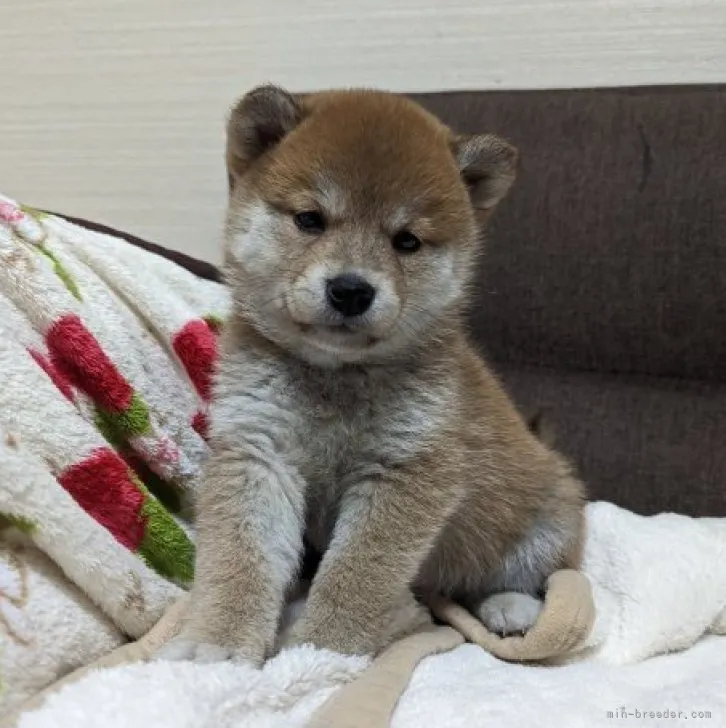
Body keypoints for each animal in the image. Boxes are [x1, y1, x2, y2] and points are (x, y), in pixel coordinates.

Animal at [158, 86, 584, 664]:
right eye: (310, 219)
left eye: (406, 241)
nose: (351, 289)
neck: (335, 378)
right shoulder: (259, 453)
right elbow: (240, 563)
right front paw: (216, 644)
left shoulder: (404, 471)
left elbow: (355, 578)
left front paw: (320, 651)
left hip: (543, 521)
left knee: (530, 576)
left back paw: (509, 608)